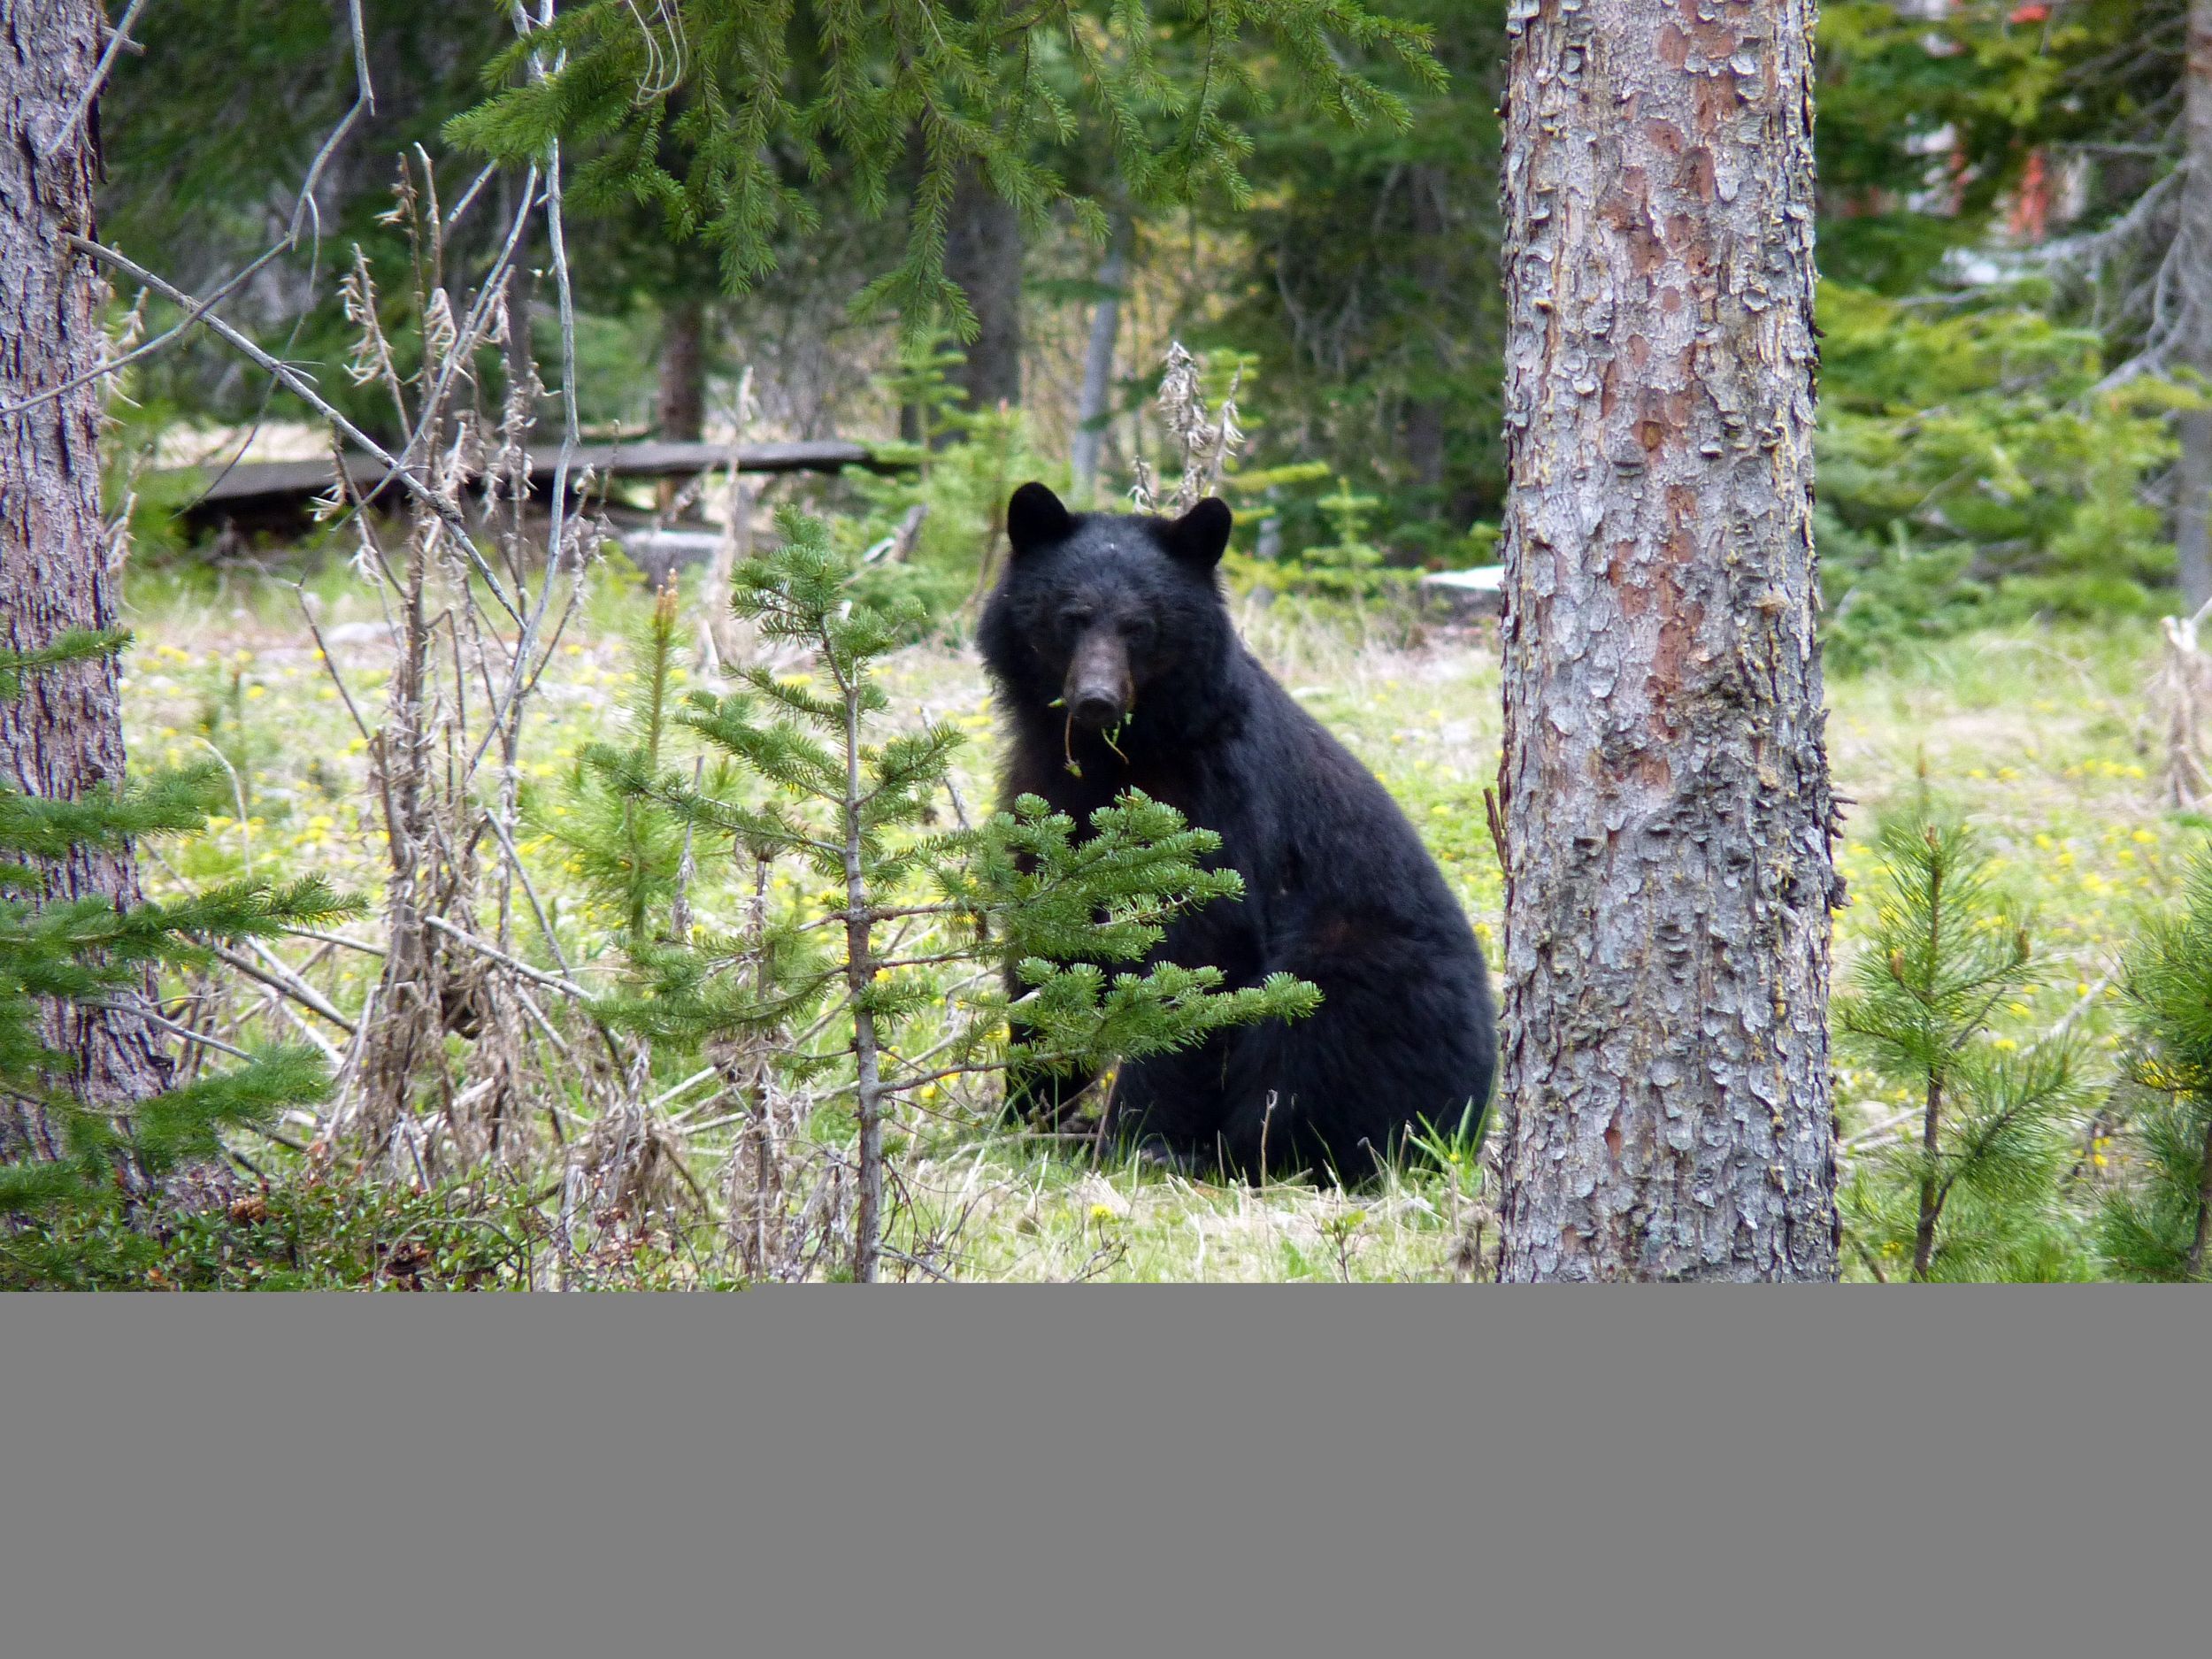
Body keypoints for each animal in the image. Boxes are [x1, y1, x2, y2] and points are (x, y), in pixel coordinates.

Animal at [978, 480, 1495, 1186]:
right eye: (1071, 616)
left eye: (1141, 626)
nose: (1097, 699)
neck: (1118, 757)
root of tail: (1479, 1108)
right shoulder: (1046, 797)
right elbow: (1053, 944)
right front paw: (1027, 1113)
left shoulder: (1218, 800)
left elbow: (1197, 954)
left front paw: (1140, 1139)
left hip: (1356, 973)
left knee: (1310, 1046)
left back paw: (1248, 1153)